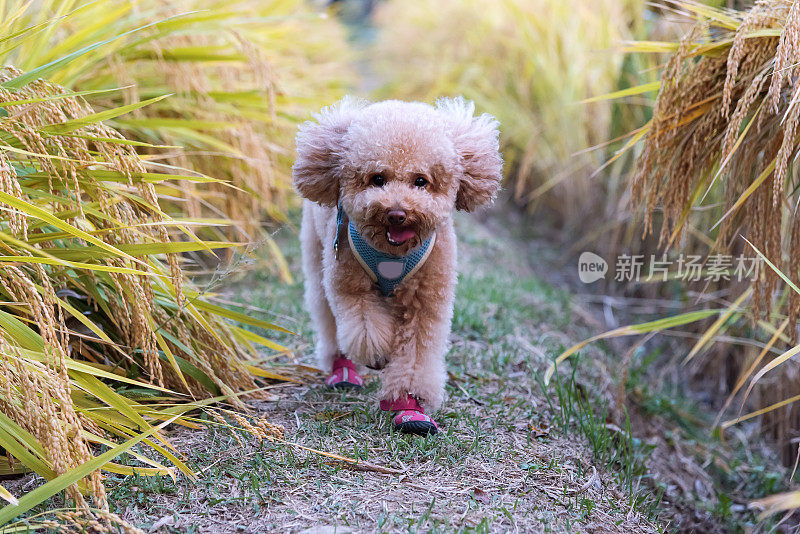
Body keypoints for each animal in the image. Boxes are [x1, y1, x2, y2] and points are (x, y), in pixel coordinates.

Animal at [290, 97, 504, 436]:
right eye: (378, 178)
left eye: (421, 181)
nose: (397, 213)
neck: (393, 252)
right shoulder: (351, 287)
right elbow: (366, 329)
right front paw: (378, 357)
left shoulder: (426, 300)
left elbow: (415, 356)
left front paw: (409, 406)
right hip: (318, 260)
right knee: (329, 319)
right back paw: (343, 370)